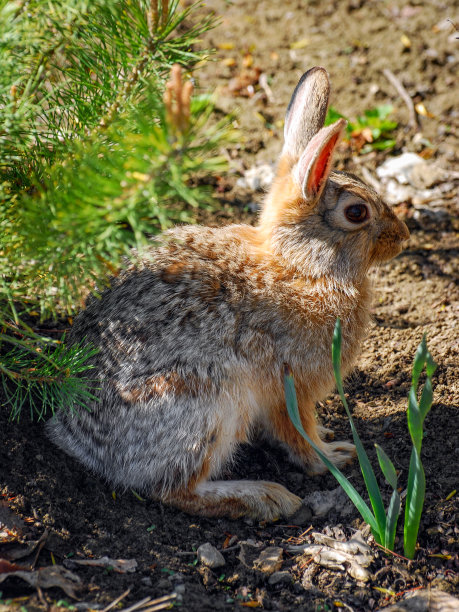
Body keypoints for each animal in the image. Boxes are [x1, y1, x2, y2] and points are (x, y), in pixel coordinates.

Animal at [47, 69, 410, 524]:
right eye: (357, 212)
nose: (403, 237)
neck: (301, 266)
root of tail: (87, 450)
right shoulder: (291, 385)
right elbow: (298, 434)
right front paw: (333, 455)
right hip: (209, 400)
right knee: (176, 490)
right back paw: (267, 497)